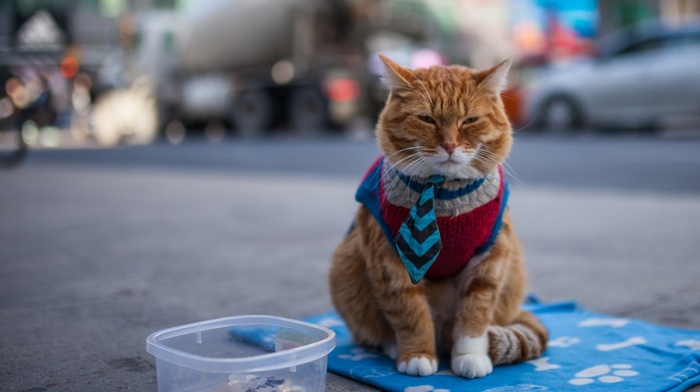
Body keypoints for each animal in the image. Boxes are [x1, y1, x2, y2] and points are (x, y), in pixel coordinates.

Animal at [328, 55, 548, 380]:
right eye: (427, 119)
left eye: (469, 120)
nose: (450, 145)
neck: (441, 190)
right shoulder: (391, 261)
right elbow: (410, 312)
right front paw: (417, 354)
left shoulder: (490, 260)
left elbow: (475, 314)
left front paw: (470, 356)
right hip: (347, 266)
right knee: (373, 331)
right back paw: (396, 346)